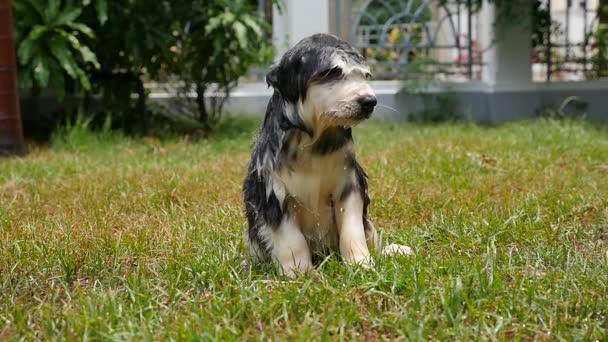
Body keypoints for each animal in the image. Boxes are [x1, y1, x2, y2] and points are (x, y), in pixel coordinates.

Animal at [243, 33, 414, 276]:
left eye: (365, 75)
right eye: (331, 73)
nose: (369, 101)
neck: (314, 141)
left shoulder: (349, 185)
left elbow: (353, 231)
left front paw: (360, 263)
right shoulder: (274, 193)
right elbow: (292, 240)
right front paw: (300, 273)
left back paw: (394, 250)